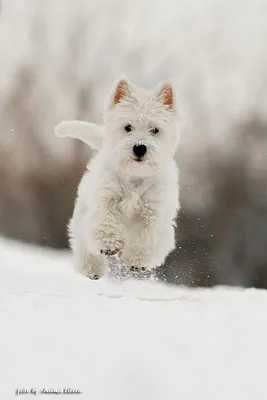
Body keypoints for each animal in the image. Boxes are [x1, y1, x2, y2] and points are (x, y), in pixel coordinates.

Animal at [55, 77, 181, 278]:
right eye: (128, 127)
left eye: (155, 130)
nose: (140, 147)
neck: (135, 175)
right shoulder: (106, 199)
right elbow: (107, 221)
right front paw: (110, 245)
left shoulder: (153, 212)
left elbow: (146, 237)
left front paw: (138, 261)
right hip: (82, 217)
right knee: (85, 245)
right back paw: (92, 269)